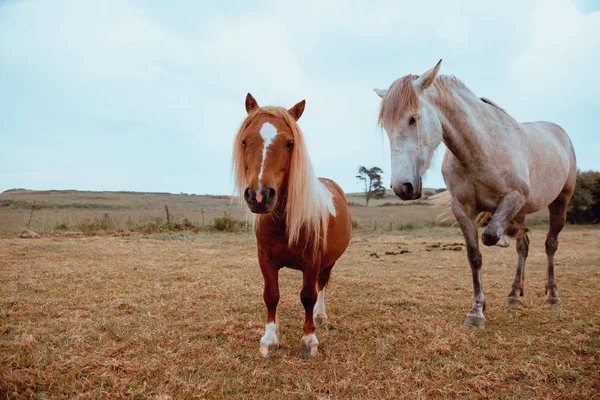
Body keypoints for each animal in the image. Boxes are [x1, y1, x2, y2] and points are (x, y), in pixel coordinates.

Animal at [231, 94, 352, 356]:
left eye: (289, 143)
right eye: (245, 141)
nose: (259, 195)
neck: (282, 223)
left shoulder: (312, 261)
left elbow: (307, 296)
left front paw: (309, 340)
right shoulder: (265, 259)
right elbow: (271, 295)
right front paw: (269, 339)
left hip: (329, 262)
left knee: (321, 286)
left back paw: (319, 316)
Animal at [376, 61, 576, 326]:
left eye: (412, 119)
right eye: (386, 128)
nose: (402, 187)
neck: (480, 148)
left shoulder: (514, 198)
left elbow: (490, 236)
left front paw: (504, 237)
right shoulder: (462, 209)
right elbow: (475, 255)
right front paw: (477, 310)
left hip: (560, 202)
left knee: (550, 245)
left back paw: (552, 295)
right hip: (522, 210)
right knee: (523, 248)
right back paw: (515, 294)